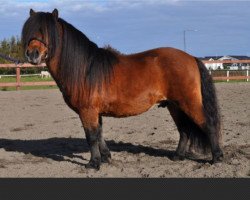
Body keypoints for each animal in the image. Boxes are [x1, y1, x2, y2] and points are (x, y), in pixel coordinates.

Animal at [21, 9, 223, 169]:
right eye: (29, 30)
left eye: (46, 31)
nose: (32, 54)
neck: (84, 68)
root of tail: (191, 58)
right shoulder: (96, 112)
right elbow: (99, 134)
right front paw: (105, 158)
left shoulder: (87, 110)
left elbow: (91, 136)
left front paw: (93, 163)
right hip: (174, 105)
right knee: (184, 130)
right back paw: (177, 157)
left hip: (188, 102)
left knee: (208, 124)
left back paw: (217, 158)